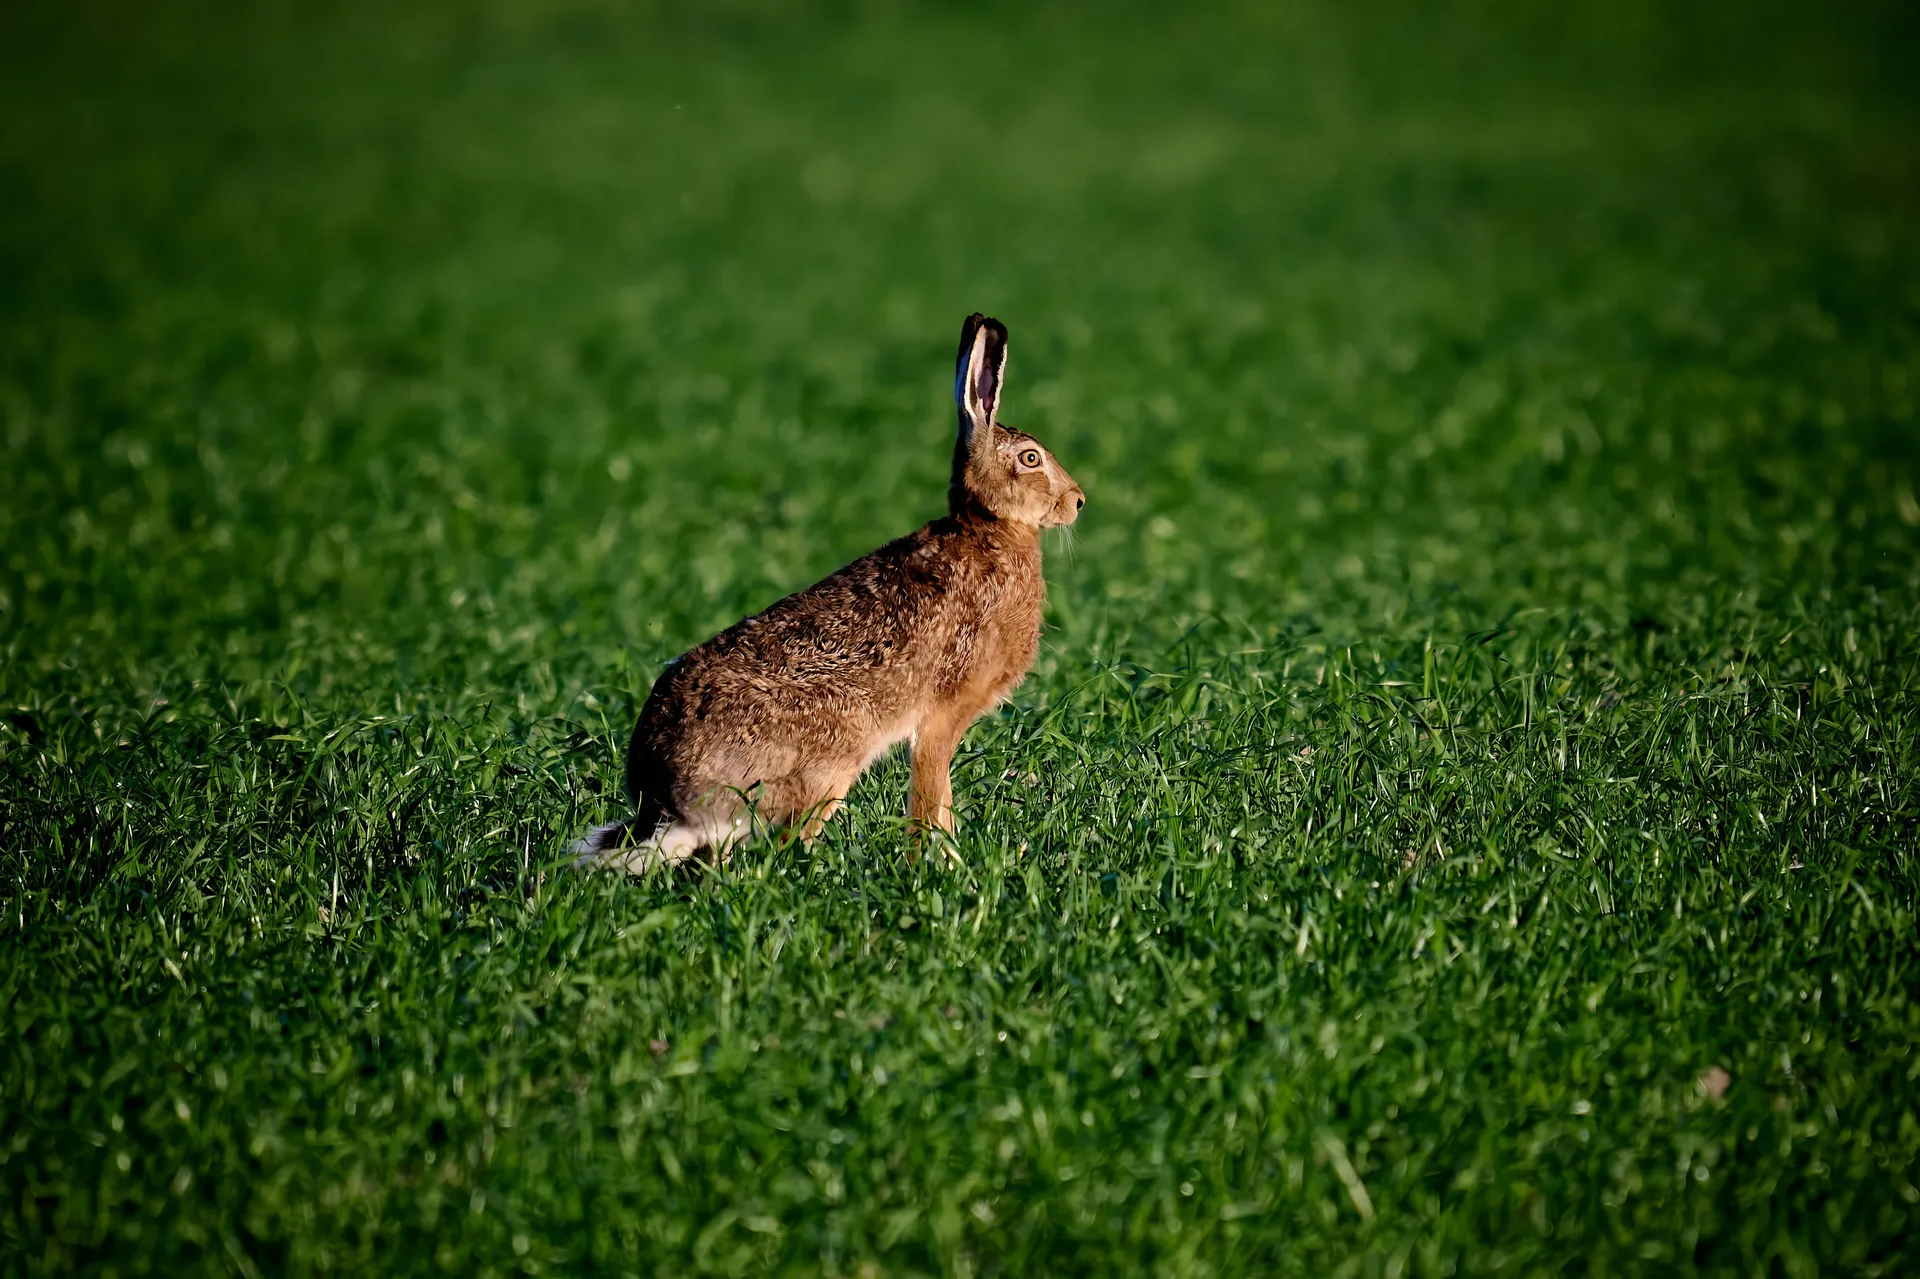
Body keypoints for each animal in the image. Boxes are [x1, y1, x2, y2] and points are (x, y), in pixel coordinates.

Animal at [573, 313, 1085, 872]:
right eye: (1031, 459)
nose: (1078, 501)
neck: (990, 529)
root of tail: (675, 807)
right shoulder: (942, 714)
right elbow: (932, 794)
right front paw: (938, 862)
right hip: (832, 761)